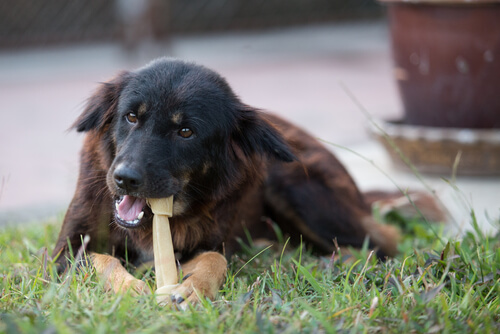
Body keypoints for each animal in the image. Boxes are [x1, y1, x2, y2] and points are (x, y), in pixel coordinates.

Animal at [52, 58, 400, 308]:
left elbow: (215, 258)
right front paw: (128, 287)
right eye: (131, 117)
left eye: (186, 132)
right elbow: (98, 258)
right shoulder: (61, 253)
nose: (125, 179)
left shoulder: (214, 241)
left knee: (381, 242)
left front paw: (194, 288)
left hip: (291, 185)